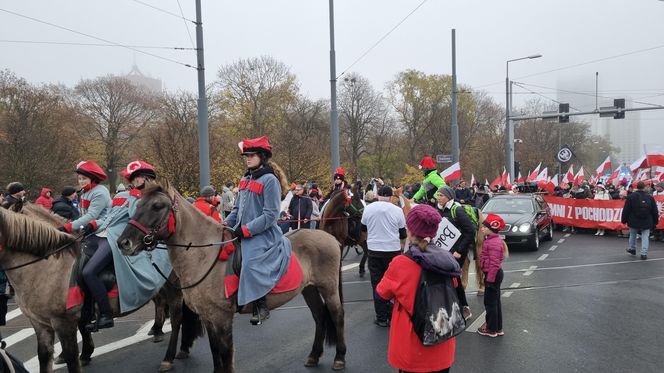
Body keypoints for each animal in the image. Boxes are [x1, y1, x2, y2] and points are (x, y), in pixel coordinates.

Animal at [0, 203, 202, 372]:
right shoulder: (40, 324)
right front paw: (85, 353)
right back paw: (177, 343)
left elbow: (72, 359)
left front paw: (81, 355)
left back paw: (168, 356)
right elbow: (44, 357)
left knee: (176, 320)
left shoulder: (64, 323)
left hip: (174, 289)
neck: (47, 265)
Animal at [117, 179, 348, 370]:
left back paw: (339, 358)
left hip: (328, 289)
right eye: (138, 205)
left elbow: (226, 354)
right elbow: (215, 352)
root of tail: (328, 237)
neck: (204, 255)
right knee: (319, 317)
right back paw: (314, 356)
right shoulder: (208, 316)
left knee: (337, 316)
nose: (123, 243)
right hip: (309, 289)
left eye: (157, 206)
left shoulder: (223, 317)